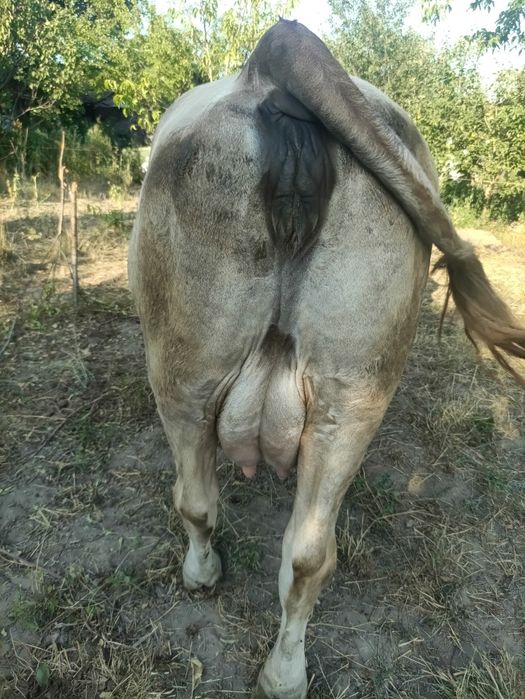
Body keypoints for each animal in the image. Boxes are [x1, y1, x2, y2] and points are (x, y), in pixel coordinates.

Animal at [128, 20, 525, 699]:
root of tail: (278, 53)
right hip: (353, 389)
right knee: (311, 553)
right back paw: (285, 673)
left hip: (182, 369)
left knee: (197, 499)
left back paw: (202, 575)